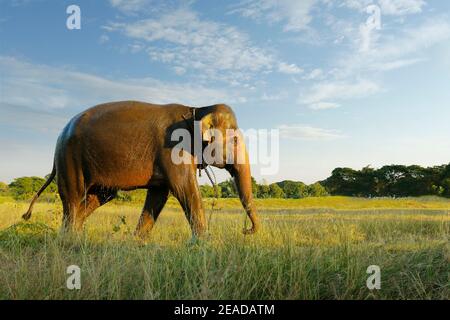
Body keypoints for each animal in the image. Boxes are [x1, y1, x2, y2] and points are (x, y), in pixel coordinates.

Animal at [22, 101, 260, 239]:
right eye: (235, 140)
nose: (246, 230)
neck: (198, 108)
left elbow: (158, 195)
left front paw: (136, 243)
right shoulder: (173, 148)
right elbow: (184, 188)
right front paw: (202, 244)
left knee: (95, 199)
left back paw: (74, 238)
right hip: (69, 158)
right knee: (73, 199)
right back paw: (70, 242)